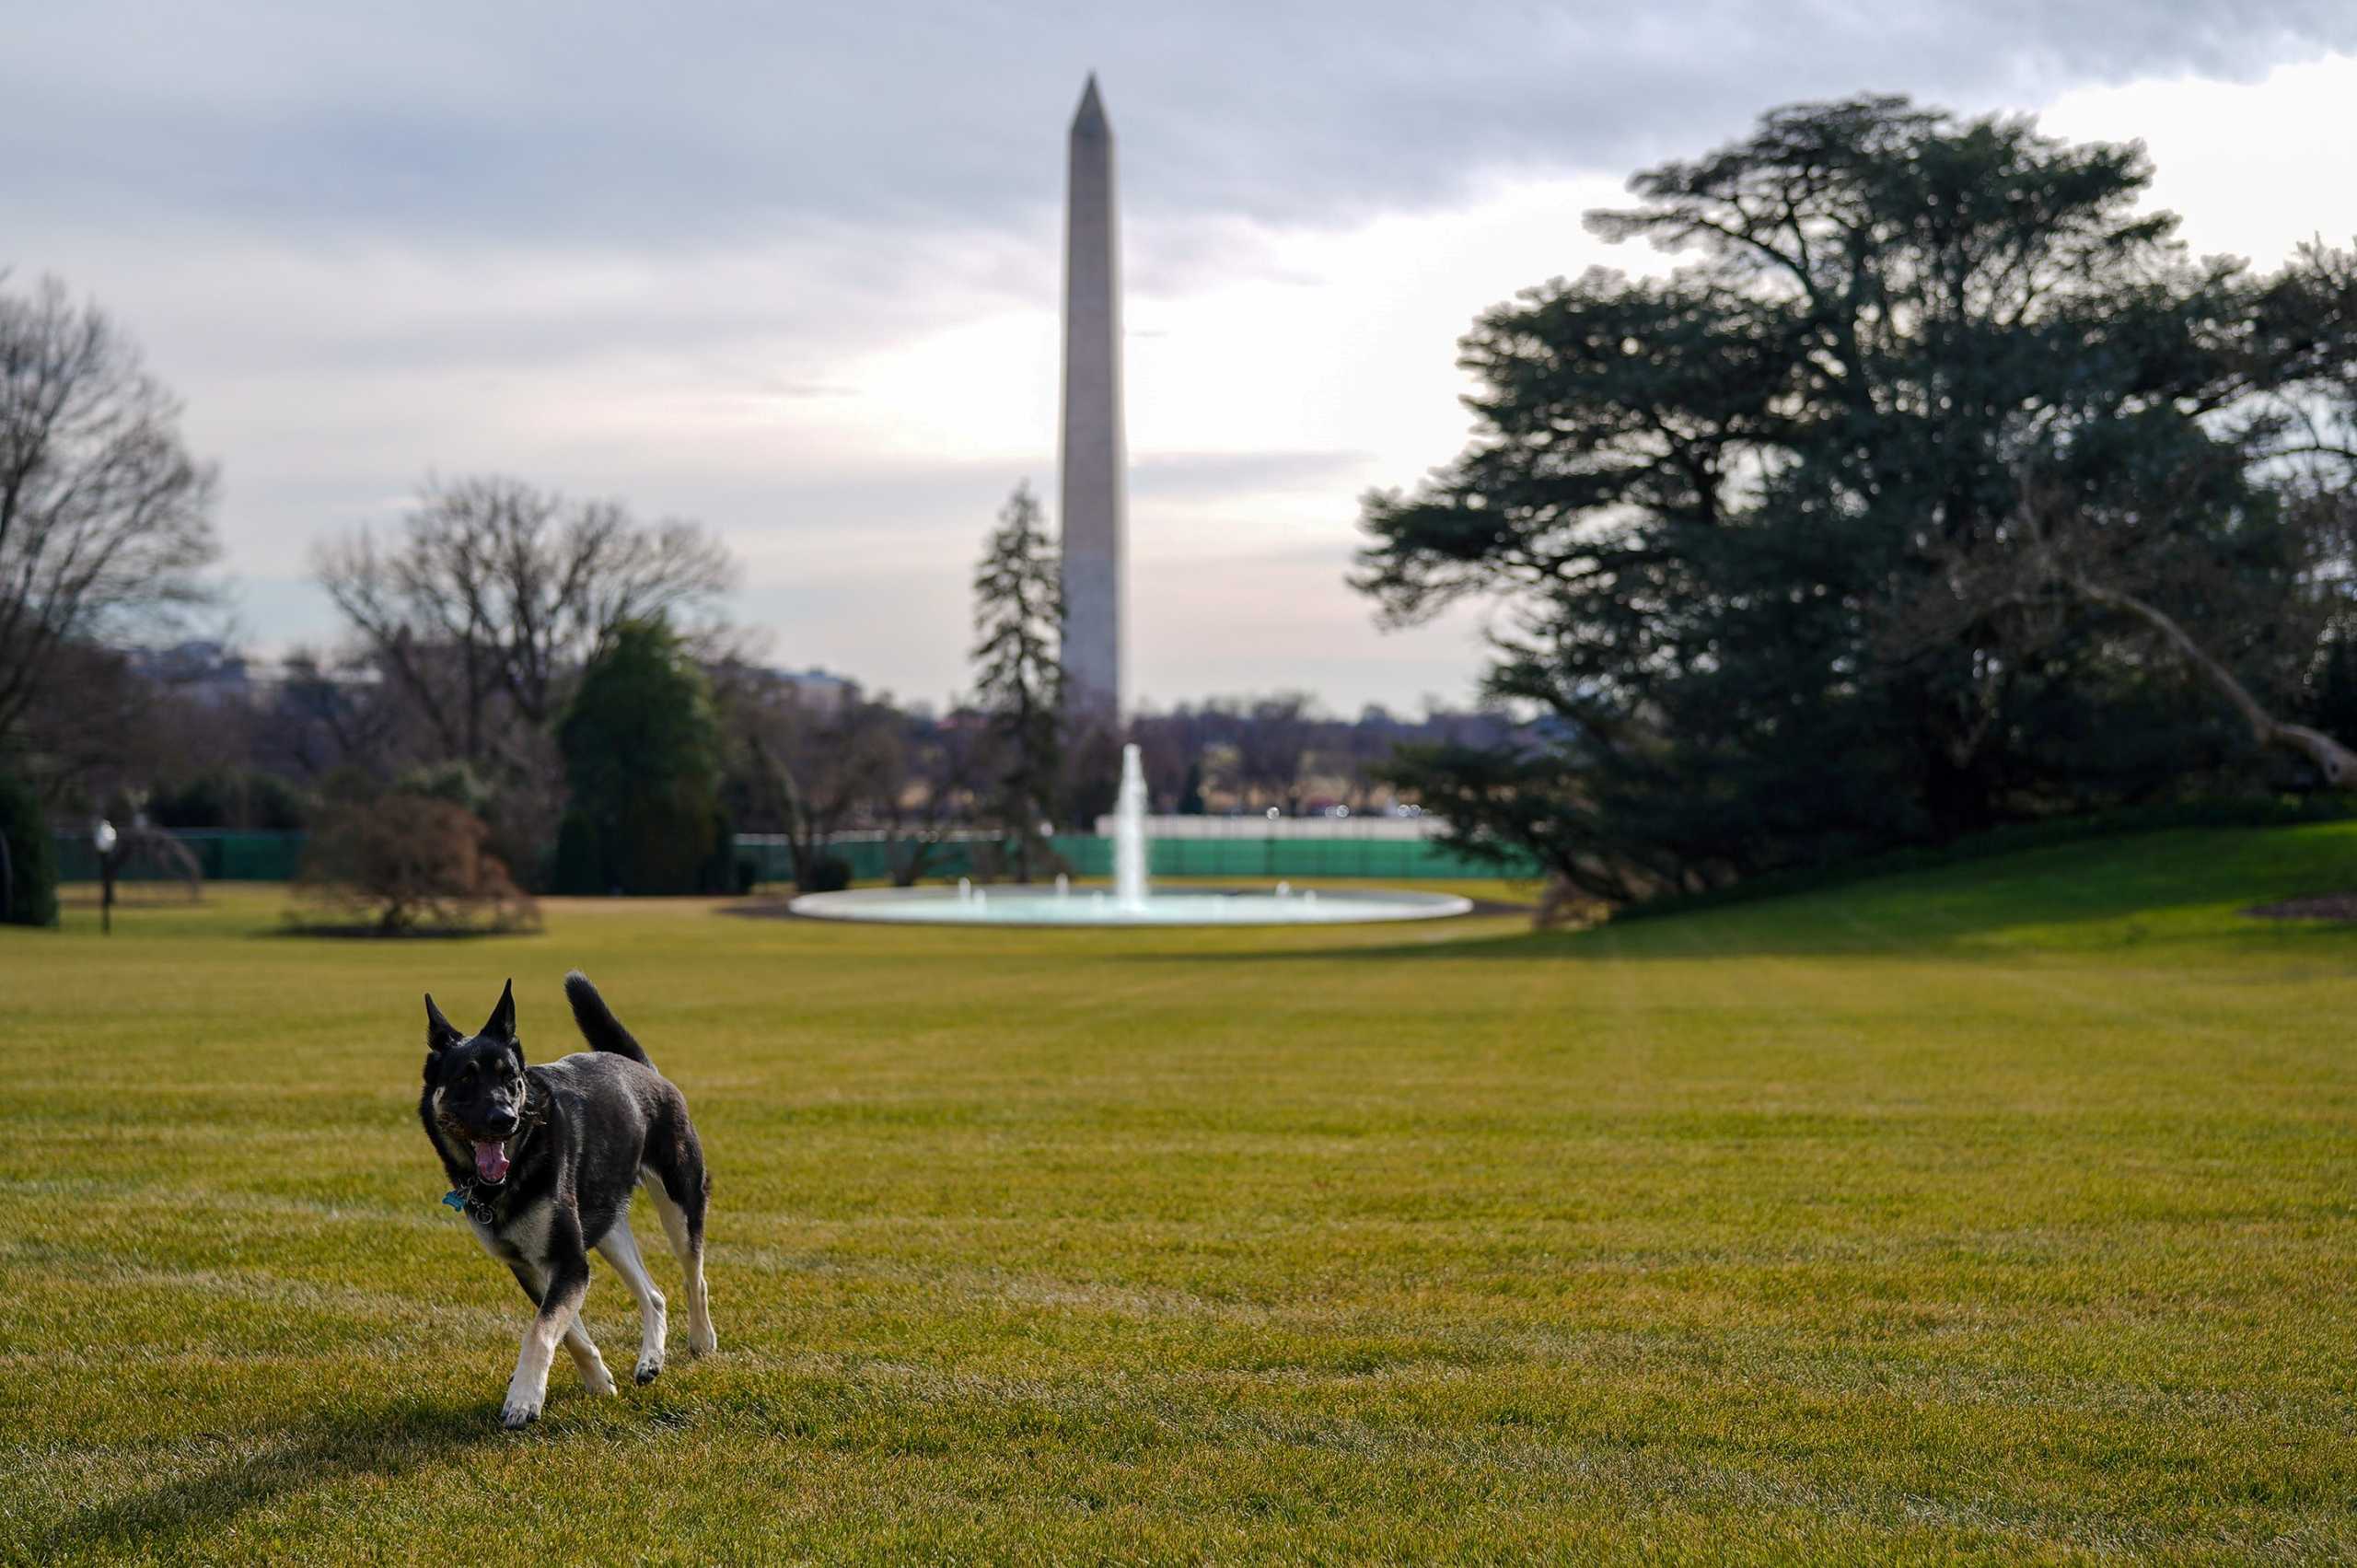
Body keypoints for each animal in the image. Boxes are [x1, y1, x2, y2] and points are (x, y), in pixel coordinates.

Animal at [424, 961, 712, 1423]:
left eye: (511, 1079)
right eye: (465, 1079)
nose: (504, 1119)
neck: (519, 1161)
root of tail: (645, 1069)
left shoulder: (569, 1262)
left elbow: (540, 1330)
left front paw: (523, 1397)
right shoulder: (532, 1266)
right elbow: (565, 1331)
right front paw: (597, 1382)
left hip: (679, 1203)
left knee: (694, 1276)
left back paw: (702, 1340)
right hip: (606, 1226)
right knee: (654, 1295)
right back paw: (650, 1360)